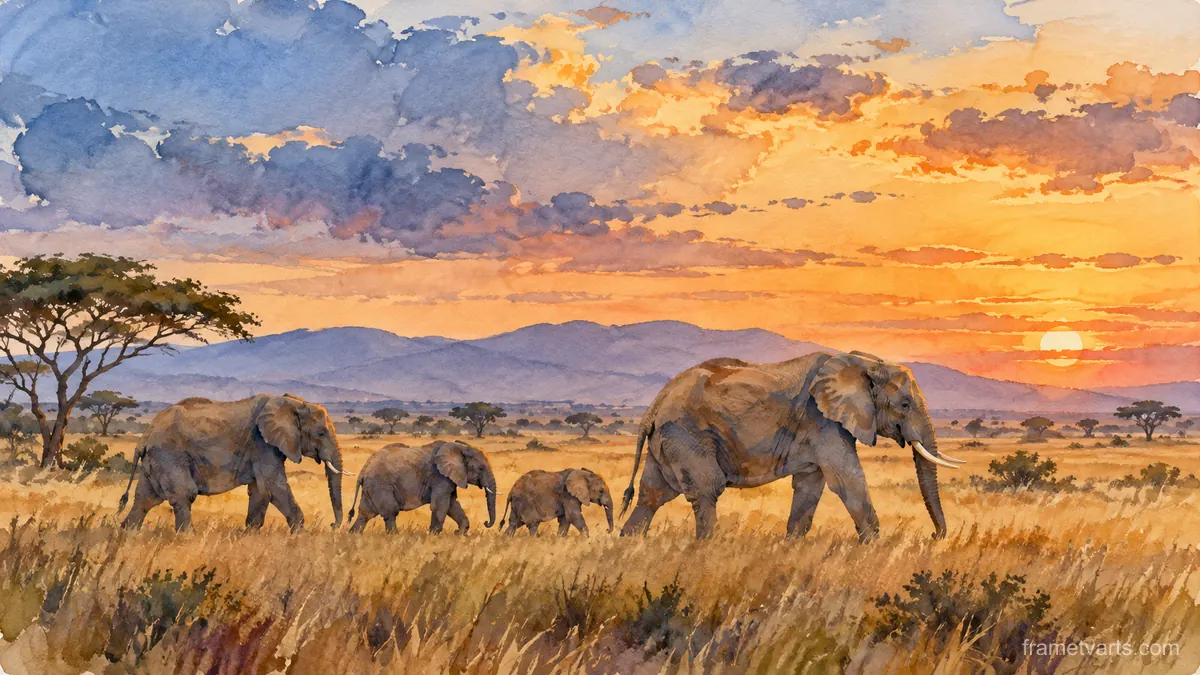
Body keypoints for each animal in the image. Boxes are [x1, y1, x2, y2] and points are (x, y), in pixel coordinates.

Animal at [117, 394, 347, 531]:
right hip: (169, 455)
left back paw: (126, 534)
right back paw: (187, 537)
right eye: (321, 433)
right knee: (183, 494)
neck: (292, 402)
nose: (332, 525)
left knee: (144, 499)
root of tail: (145, 436)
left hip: (155, 461)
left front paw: (250, 535)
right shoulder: (262, 444)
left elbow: (260, 491)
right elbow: (274, 487)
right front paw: (299, 535)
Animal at [347, 440, 498, 534]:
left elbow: (452, 504)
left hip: (371, 488)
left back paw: (353, 535)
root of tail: (363, 470)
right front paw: (433, 536)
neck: (460, 449)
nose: (486, 523)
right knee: (390, 512)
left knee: (365, 514)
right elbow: (440, 506)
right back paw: (394, 537)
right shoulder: (439, 476)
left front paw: (459, 533)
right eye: (481, 468)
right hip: (380, 485)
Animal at [619, 351, 964, 541]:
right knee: (706, 490)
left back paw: (628, 545)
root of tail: (654, 405)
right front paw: (874, 551)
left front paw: (791, 548)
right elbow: (848, 481)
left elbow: (810, 488)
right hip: (687, 434)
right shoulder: (823, 422)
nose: (935, 535)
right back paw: (707, 548)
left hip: (668, 441)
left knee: (652, 496)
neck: (865, 362)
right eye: (905, 405)